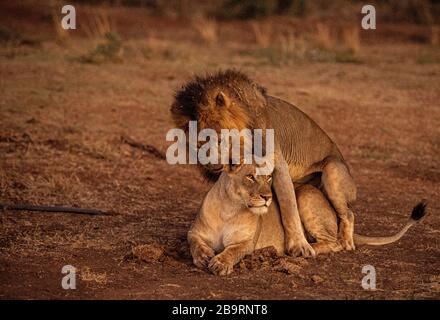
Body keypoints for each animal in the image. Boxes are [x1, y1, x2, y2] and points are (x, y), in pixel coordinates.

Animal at [172, 70, 354, 258]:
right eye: (197, 146)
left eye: (219, 139)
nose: (212, 165)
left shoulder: (278, 163)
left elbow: (289, 207)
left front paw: (299, 246)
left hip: (332, 170)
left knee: (348, 215)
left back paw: (345, 242)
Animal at [188, 164, 426, 276]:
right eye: (250, 176)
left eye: (269, 177)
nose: (268, 197)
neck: (230, 208)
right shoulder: (194, 232)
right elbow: (194, 243)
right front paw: (204, 255)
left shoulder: (247, 242)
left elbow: (233, 251)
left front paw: (219, 263)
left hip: (303, 195)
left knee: (336, 243)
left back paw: (301, 250)